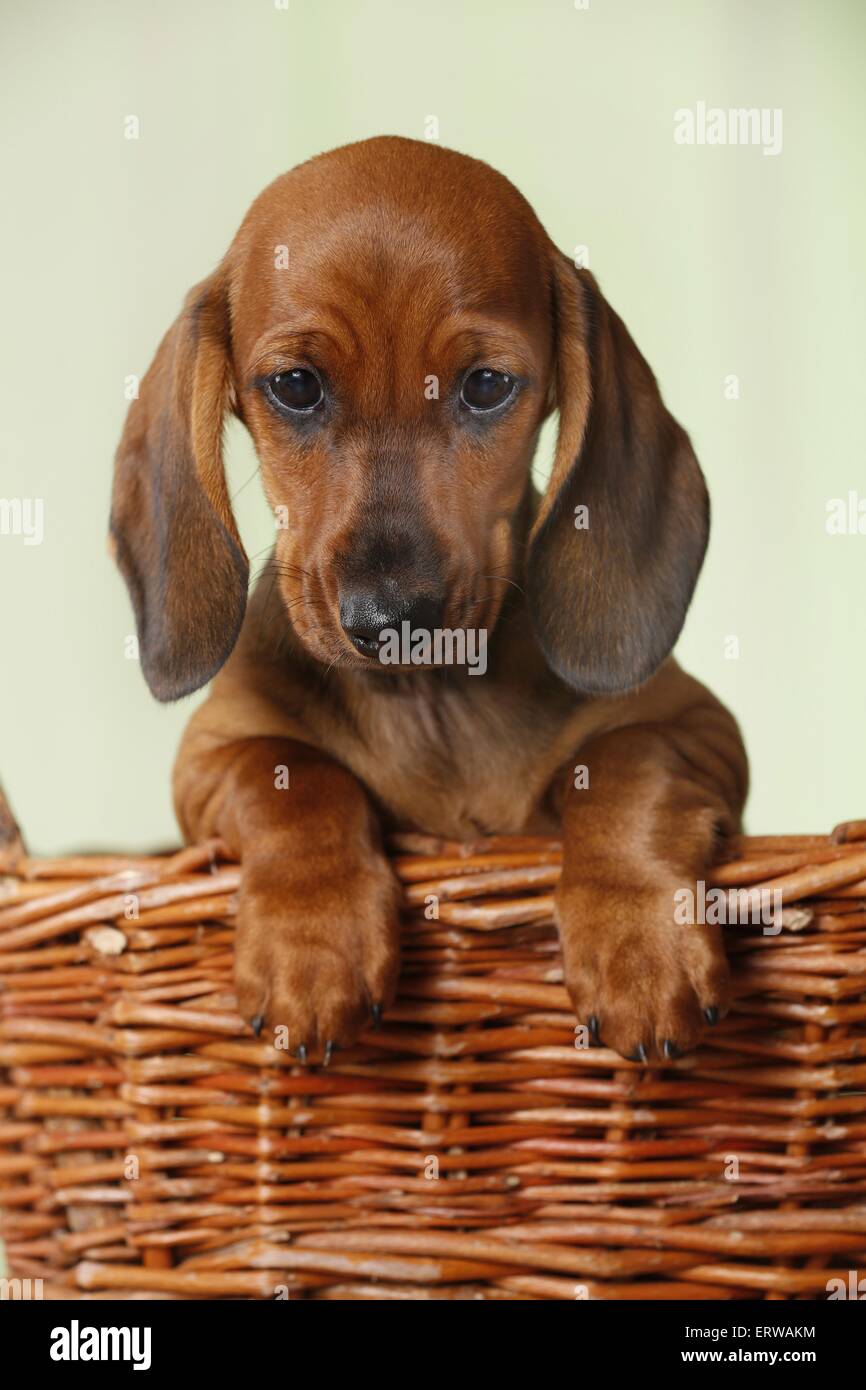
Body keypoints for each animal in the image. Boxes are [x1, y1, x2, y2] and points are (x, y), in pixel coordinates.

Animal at [109, 132, 745, 1061]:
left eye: (485, 385)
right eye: (295, 386)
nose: (391, 620)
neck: (429, 704)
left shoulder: (701, 730)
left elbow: (627, 765)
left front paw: (640, 939)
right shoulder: (209, 758)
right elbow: (291, 773)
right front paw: (313, 939)